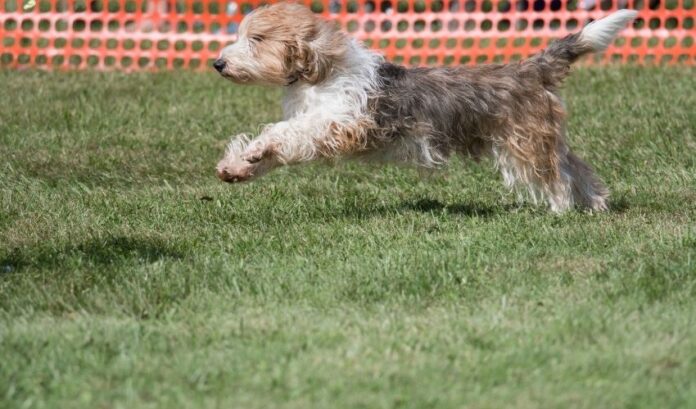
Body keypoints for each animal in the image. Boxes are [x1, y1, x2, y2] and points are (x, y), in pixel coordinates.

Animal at [215, 3, 640, 212]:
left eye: (256, 39)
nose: (218, 63)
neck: (321, 71)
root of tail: (531, 68)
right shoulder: (315, 122)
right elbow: (280, 145)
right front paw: (238, 166)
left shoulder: (341, 123)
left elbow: (285, 132)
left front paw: (254, 150)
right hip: (544, 137)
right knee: (578, 168)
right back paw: (596, 205)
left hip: (525, 143)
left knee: (557, 177)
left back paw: (560, 211)